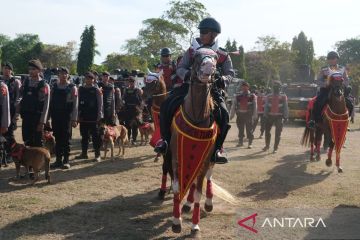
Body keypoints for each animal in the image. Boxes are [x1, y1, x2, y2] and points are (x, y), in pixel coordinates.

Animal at [169, 48, 218, 236]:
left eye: (216, 57)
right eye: (196, 55)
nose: (209, 66)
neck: (197, 118)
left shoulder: (204, 160)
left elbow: (199, 191)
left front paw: (195, 225)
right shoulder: (175, 159)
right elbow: (177, 189)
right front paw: (176, 222)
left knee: (207, 176)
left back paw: (208, 203)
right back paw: (187, 204)